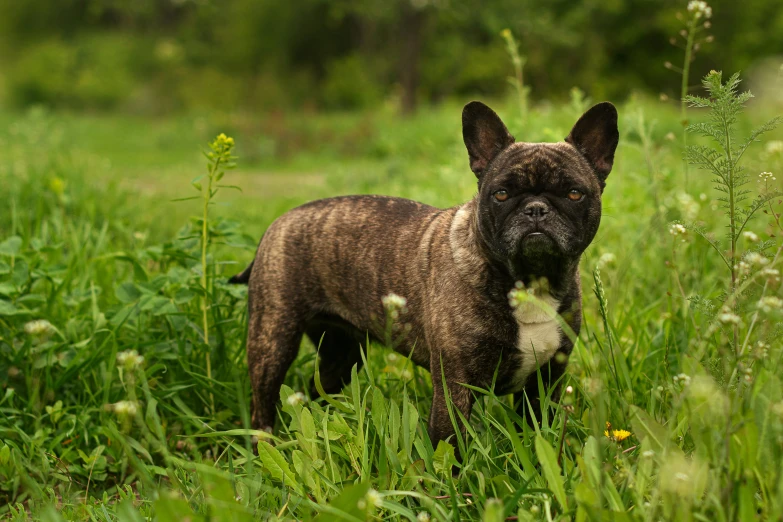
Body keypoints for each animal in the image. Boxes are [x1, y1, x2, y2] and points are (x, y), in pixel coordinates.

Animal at [228, 101, 620, 446]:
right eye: (501, 194)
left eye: (574, 193)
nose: (536, 209)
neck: (528, 281)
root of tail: (278, 223)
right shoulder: (455, 386)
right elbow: (451, 446)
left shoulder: (545, 382)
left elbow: (539, 434)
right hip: (272, 341)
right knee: (263, 405)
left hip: (341, 354)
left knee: (316, 392)